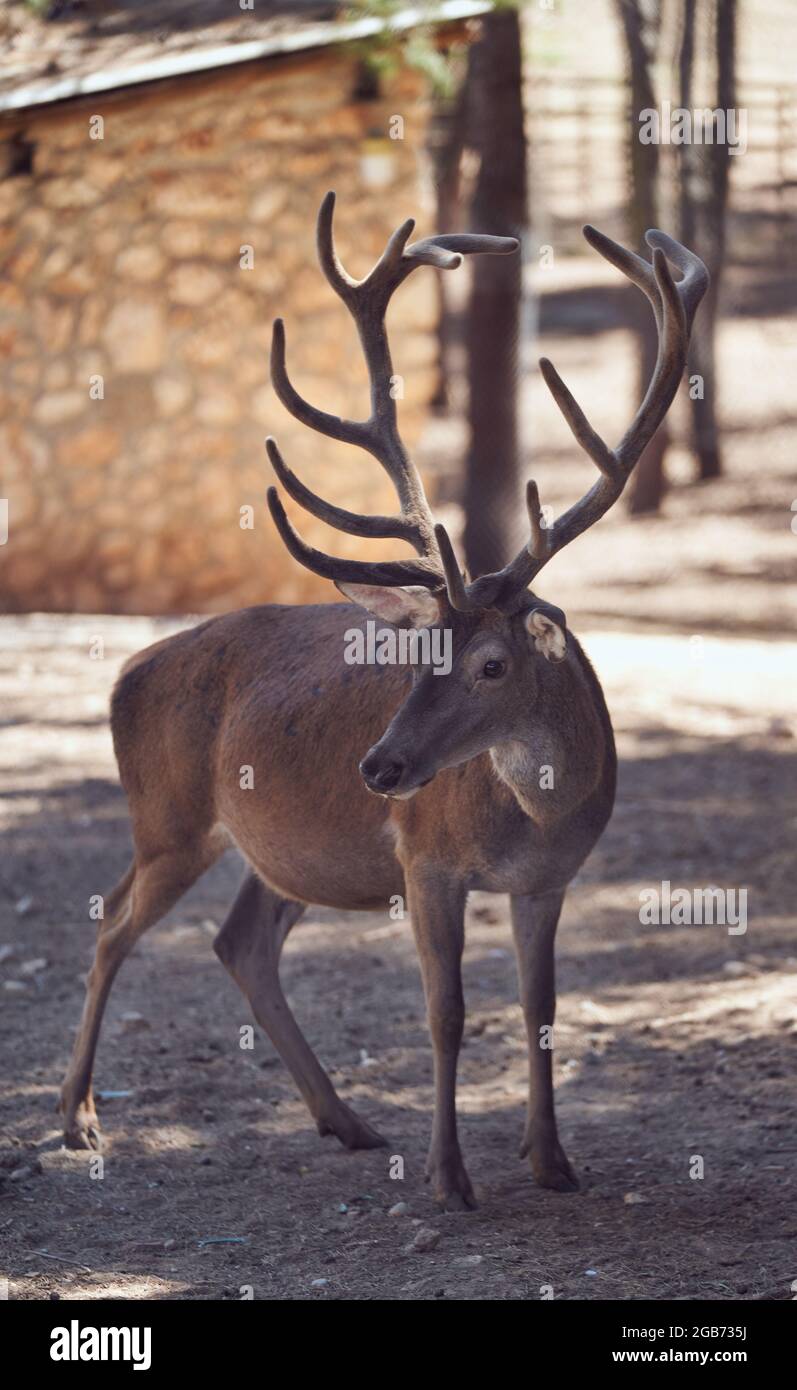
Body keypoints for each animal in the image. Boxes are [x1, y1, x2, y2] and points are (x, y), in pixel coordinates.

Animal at [63, 193, 709, 1206]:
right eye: (416, 655)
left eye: (490, 664)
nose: (381, 764)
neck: (535, 815)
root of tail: (128, 670)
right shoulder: (425, 860)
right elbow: (445, 1011)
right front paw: (449, 1177)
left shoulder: (551, 880)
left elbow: (542, 1007)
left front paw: (552, 1161)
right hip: (167, 816)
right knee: (112, 922)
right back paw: (79, 1119)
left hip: (278, 848)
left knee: (240, 941)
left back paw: (347, 1119)